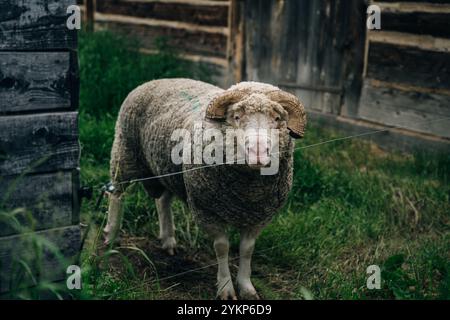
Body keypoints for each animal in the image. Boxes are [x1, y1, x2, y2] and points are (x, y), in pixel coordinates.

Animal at [104, 78, 306, 300]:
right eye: (236, 117)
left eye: (277, 118)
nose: (258, 151)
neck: (248, 192)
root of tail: (153, 81)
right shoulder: (206, 210)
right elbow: (222, 247)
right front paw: (225, 287)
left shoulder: (260, 216)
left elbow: (247, 250)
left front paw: (246, 287)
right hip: (124, 152)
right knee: (117, 194)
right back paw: (111, 236)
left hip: (166, 169)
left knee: (163, 201)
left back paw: (168, 240)